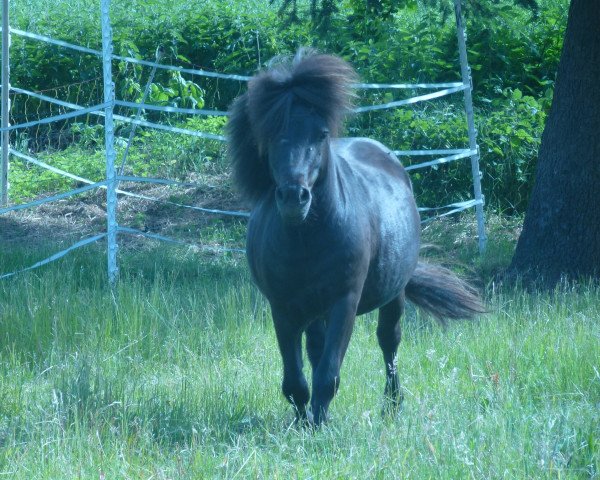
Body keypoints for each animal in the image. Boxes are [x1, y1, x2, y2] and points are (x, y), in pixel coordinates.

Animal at [227, 51, 486, 428]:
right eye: (271, 133)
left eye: (321, 134)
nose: (293, 197)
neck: (306, 241)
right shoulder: (283, 309)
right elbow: (295, 380)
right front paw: (304, 423)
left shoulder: (344, 303)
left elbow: (327, 374)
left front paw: (320, 425)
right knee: (316, 351)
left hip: (393, 297)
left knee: (389, 345)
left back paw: (392, 406)